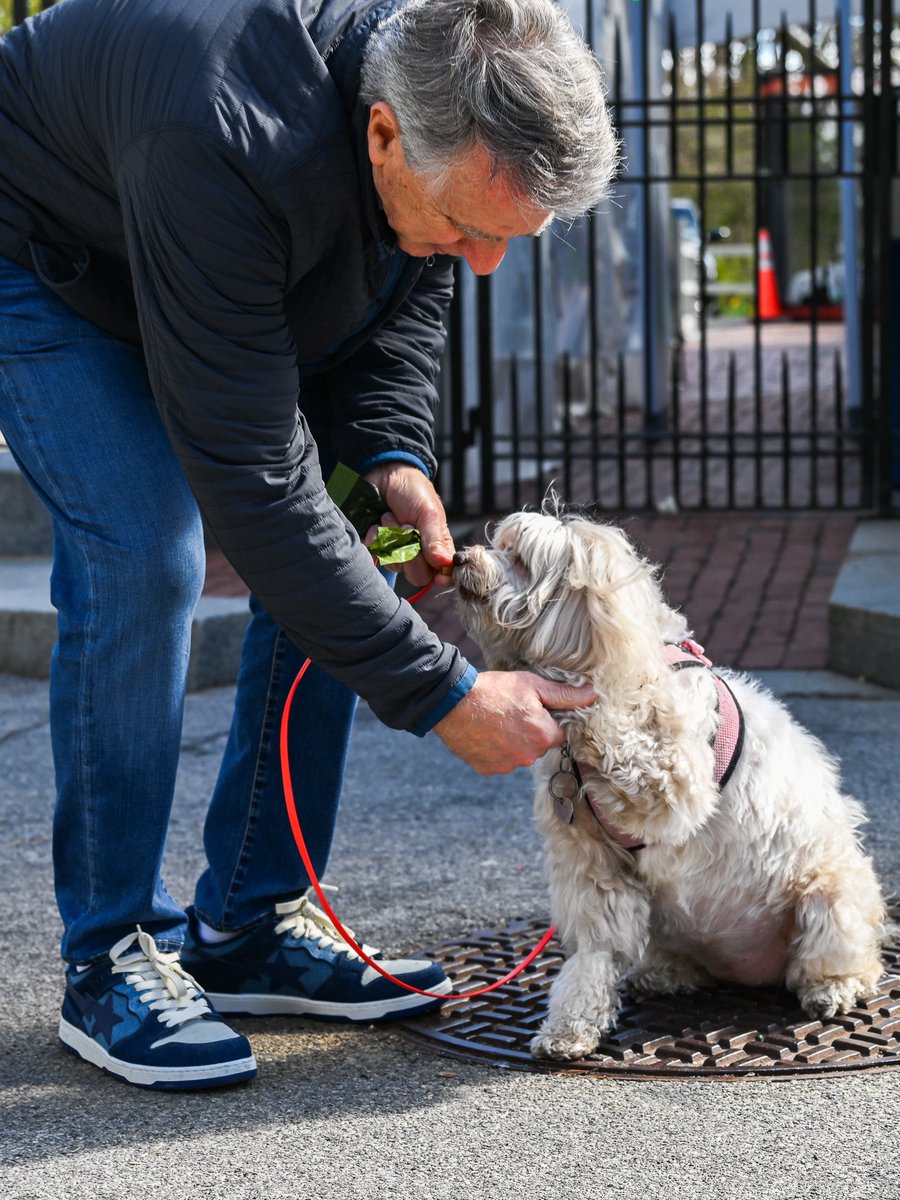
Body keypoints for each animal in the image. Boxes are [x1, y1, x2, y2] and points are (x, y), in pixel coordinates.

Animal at [453, 506, 892, 1060]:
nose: (459, 557)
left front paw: (581, 704)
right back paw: (665, 974)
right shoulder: (592, 864)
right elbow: (593, 954)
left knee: (841, 958)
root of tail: (749, 972)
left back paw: (833, 985)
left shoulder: (670, 780)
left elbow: (612, 728)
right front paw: (570, 1026)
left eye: (521, 558)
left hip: (831, 894)